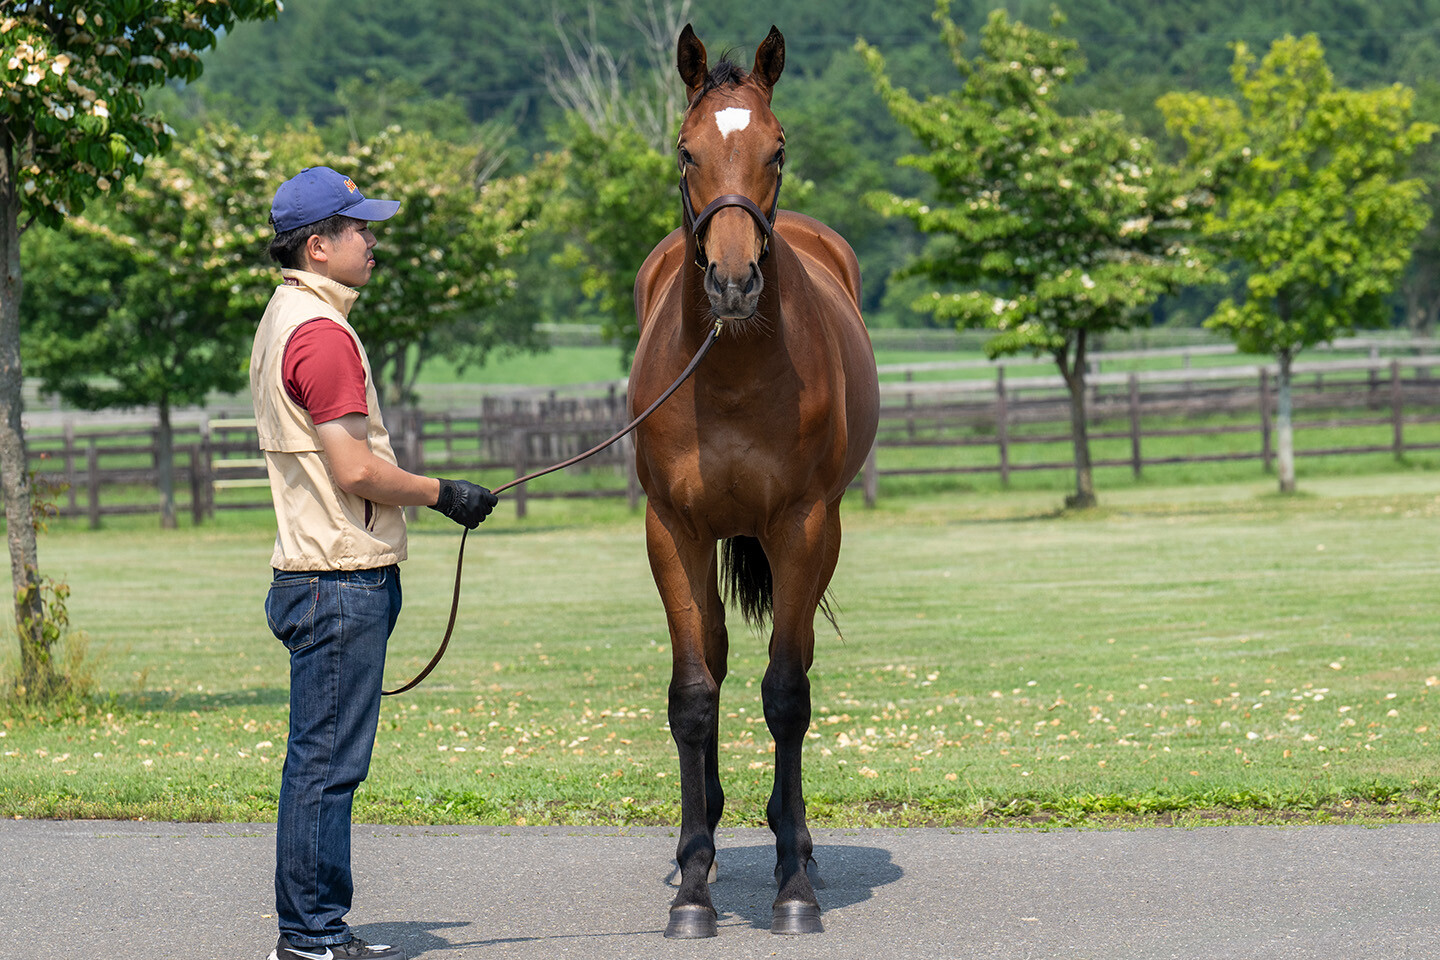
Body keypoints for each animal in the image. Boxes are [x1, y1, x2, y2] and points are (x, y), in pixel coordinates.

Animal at [627, 20, 875, 938]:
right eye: (685, 148)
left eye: (778, 147)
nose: (733, 283)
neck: (729, 370)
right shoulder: (673, 529)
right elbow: (693, 696)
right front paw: (694, 890)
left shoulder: (802, 526)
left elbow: (787, 695)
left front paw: (794, 887)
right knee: (718, 660)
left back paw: (793, 845)